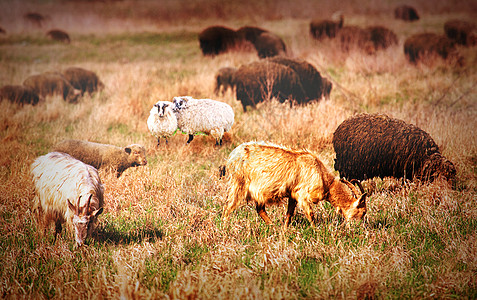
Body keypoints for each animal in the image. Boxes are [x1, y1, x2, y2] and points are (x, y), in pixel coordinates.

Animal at [221, 142, 366, 229]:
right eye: (363, 211)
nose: (358, 227)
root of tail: (232, 156)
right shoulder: (302, 194)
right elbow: (310, 214)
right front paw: (316, 230)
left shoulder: (292, 194)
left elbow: (289, 213)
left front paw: (285, 229)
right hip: (239, 184)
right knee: (228, 207)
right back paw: (224, 226)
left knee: (260, 209)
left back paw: (273, 227)